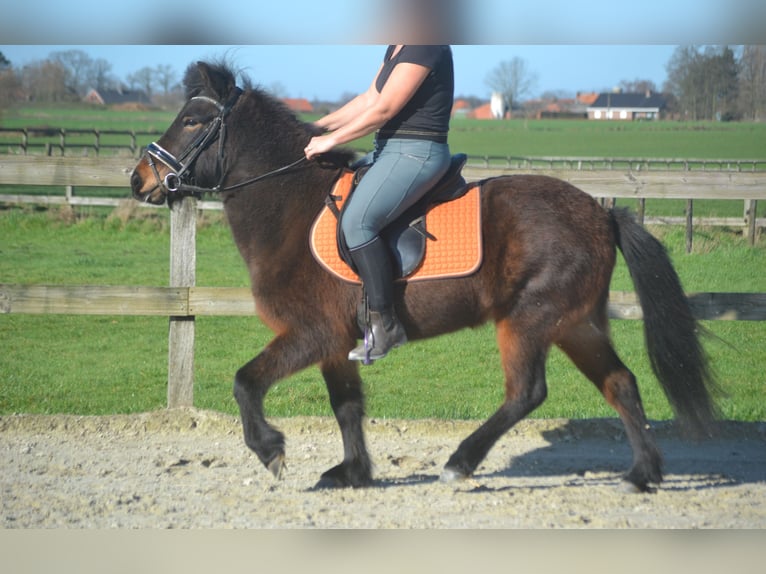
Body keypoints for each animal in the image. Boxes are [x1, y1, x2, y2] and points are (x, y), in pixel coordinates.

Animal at [130, 60, 718, 492]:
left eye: (192, 121)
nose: (139, 180)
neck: (290, 206)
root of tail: (601, 213)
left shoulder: (309, 333)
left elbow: (245, 381)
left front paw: (271, 450)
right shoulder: (335, 342)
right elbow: (347, 406)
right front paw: (353, 472)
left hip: (530, 318)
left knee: (527, 392)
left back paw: (461, 462)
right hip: (576, 324)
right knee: (621, 383)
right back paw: (643, 474)